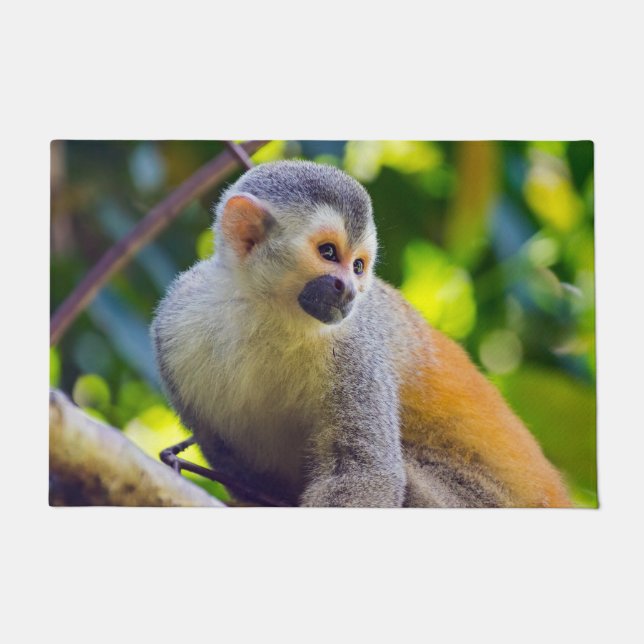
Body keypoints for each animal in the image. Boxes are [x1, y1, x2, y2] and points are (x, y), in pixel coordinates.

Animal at [151, 160, 572, 508]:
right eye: (328, 253)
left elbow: (365, 471)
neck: (264, 312)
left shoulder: (355, 348)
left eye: (357, 266)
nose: (350, 290)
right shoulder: (173, 325)